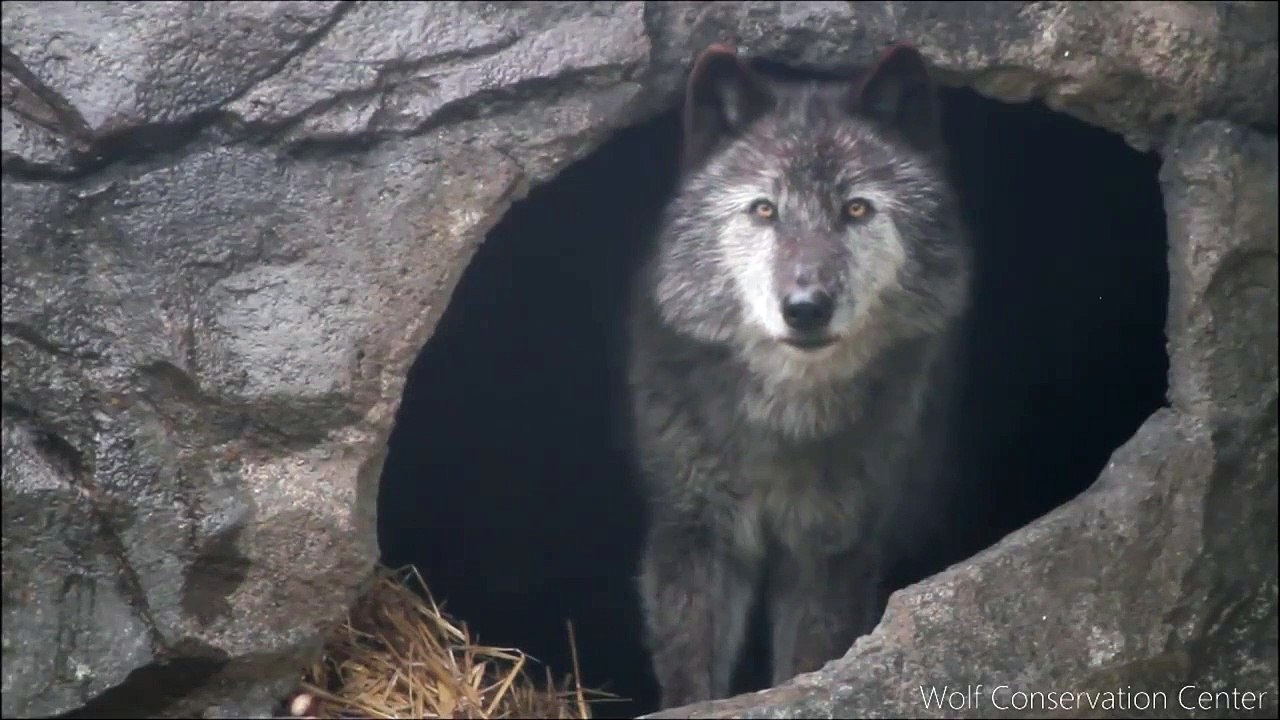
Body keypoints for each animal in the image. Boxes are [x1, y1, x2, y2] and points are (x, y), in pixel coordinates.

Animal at [624, 42, 974, 710]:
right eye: (765, 209)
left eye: (855, 208)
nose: (807, 306)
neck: (785, 423)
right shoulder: (694, 531)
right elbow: (691, 676)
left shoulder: (832, 548)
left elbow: (809, 665)